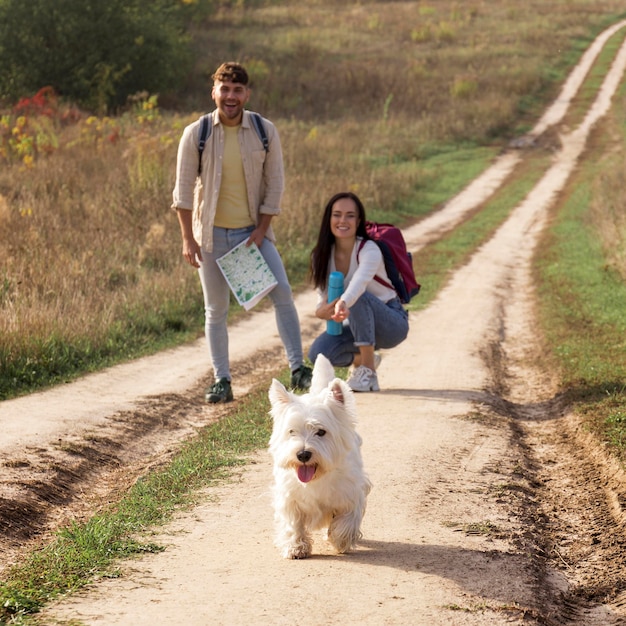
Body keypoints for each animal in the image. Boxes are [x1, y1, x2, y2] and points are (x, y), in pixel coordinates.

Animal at [268, 354, 370, 560]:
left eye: (321, 432)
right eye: (292, 431)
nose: (303, 454)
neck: (317, 478)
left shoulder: (352, 492)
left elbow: (347, 519)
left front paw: (340, 540)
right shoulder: (289, 496)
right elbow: (292, 523)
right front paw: (296, 547)